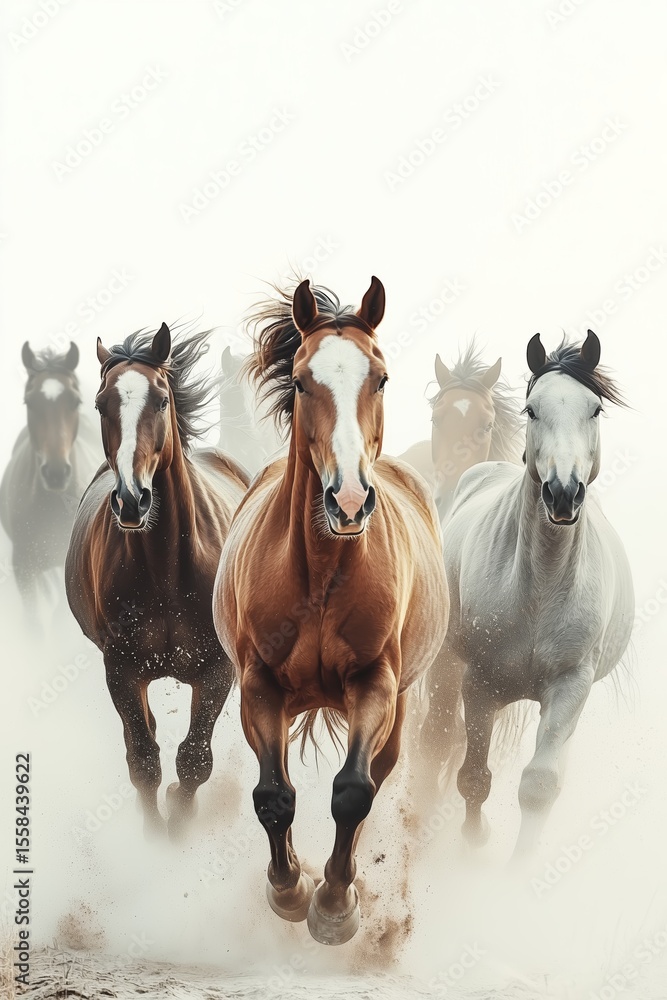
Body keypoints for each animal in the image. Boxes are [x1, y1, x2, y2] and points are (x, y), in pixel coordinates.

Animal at [65, 324, 248, 838]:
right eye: (101, 404)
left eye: (162, 399)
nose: (133, 500)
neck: (168, 569)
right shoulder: (122, 669)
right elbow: (144, 760)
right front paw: (155, 840)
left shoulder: (217, 669)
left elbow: (194, 760)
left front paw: (179, 829)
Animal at [213, 278, 449, 945]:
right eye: (299, 381)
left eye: (382, 378)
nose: (347, 500)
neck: (321, 571)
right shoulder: (260, 685)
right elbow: (274, 795)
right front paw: (289, 888)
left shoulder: (374, 683)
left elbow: (352, 793)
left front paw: (335, 905)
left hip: (396, 707)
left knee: (377, 776)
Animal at [440, 330, 633, 858]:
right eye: (531, 409)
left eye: (594, 409)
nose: (563, 493)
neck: (540, 589)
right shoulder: (480, 683)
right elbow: (473, 778)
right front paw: (472, 843)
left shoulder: (570, 686)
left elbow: (540, 786)